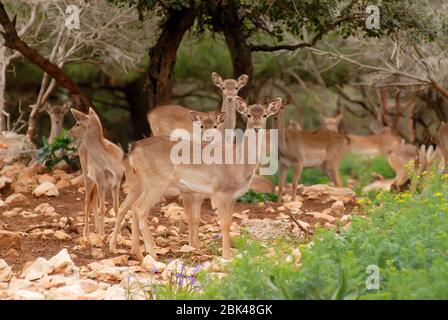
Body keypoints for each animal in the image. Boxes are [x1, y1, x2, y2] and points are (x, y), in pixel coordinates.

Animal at [110, 95, 282, 260]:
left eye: (265, 115)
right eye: (248, 114)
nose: (257, 128)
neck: (238, 165)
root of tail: (133, 148)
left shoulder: (233, 196)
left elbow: (227, 221)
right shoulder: (220, 191)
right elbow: (224, 223)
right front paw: (226, 255)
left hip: (141, 182)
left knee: (130, 206)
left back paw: (134, 252)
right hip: (156, 182)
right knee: (139, 209)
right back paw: (151, 254)